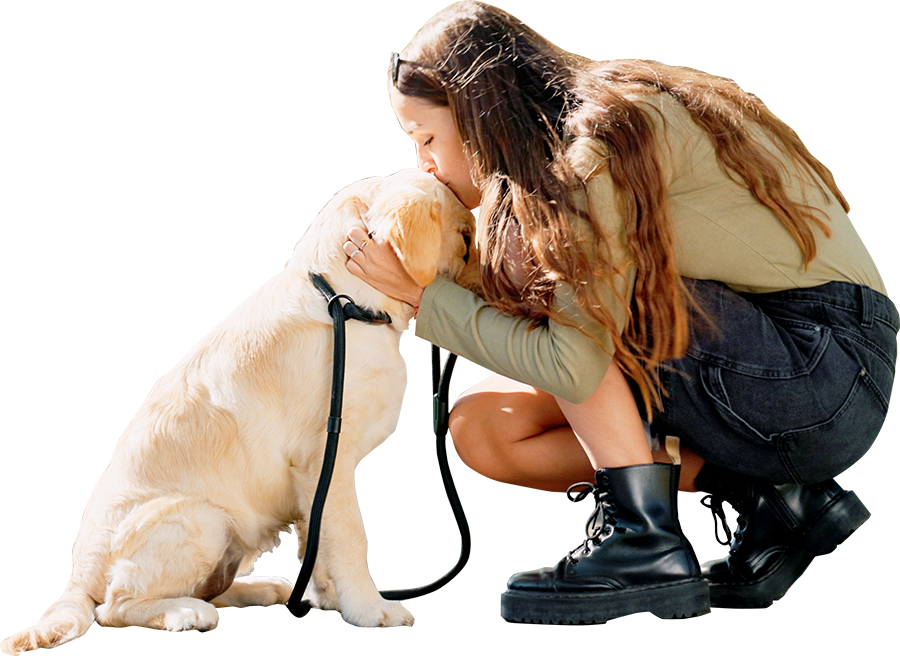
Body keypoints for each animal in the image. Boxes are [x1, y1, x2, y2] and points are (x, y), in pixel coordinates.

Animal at [1, 169, 478, 656]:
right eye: (465, 238)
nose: (495, 293)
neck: (345, 300)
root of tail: (76, 578)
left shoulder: (314, 478)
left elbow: (317, 538)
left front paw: (328, 596)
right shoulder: (327, 453)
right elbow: (349, 535)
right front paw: (370, 610)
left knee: (209, 586)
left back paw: (263, 587)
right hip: (202, 518)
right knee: (114, 607)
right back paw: (186, 612)